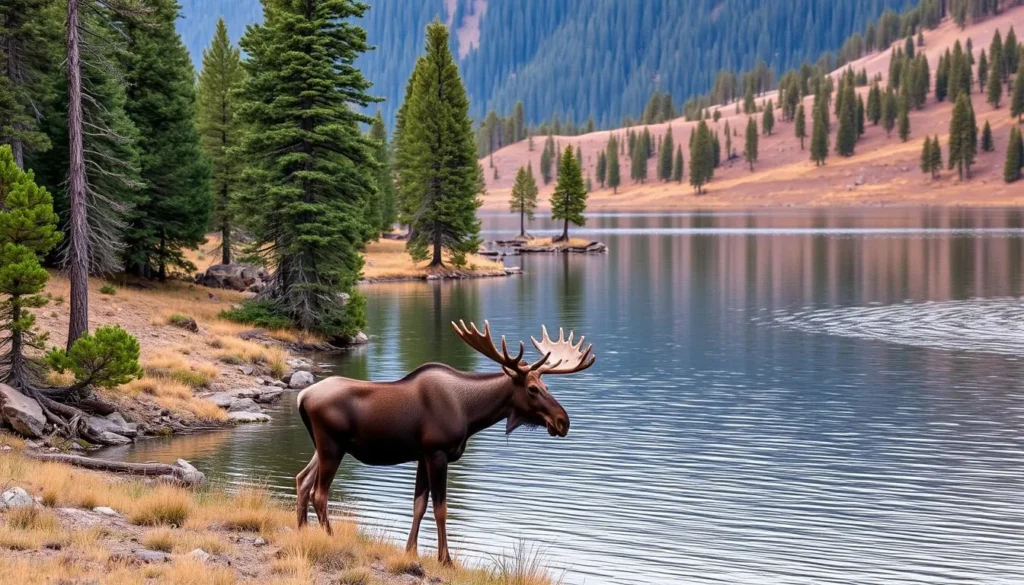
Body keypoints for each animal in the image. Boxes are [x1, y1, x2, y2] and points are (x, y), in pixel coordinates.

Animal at [294, 320, 595, 565]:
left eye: (546, 387)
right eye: (532, 389)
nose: (563, 421)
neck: (470, 413)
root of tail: (302, 396)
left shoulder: (422, 455)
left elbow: (419, 504)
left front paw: (411, 551)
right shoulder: (437, 453)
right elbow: (441, 508)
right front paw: (445, 559)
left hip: (322, 448)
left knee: (302, 479)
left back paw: (302, 531)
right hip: (332, 446)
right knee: (319, 493)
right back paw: (330, 537)